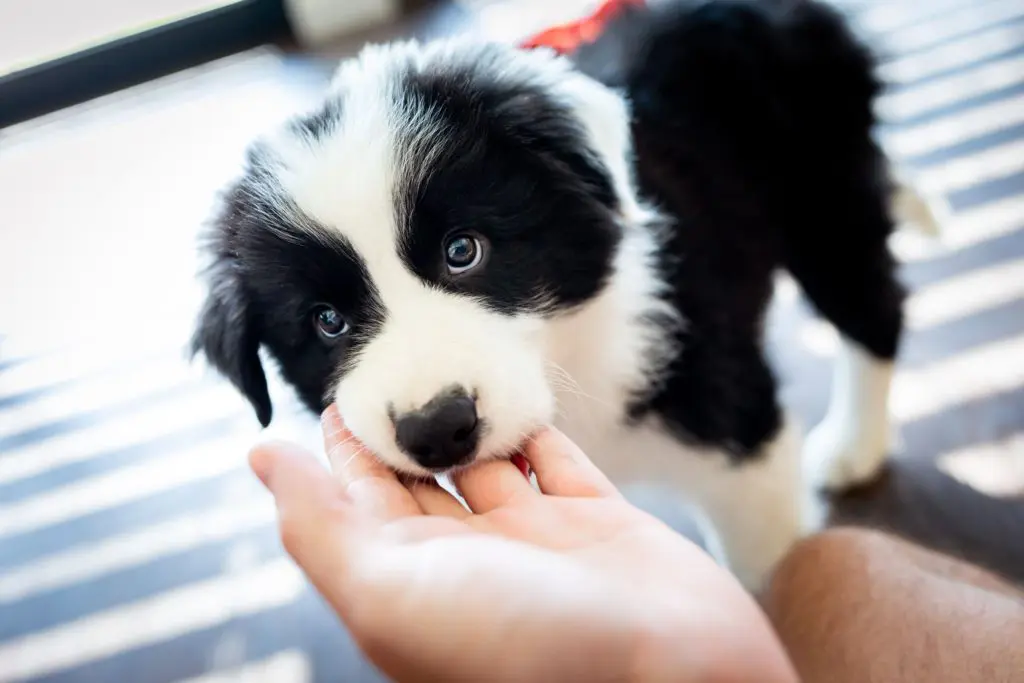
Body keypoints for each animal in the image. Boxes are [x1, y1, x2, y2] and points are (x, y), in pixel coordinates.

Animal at [192, 0, 921, 589]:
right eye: (327, 321)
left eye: (463, 251)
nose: (438, 429)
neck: (569, 361)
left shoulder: (731, 420)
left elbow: (765, 566)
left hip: (819, 187)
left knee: (871, 303)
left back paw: (853, 446)